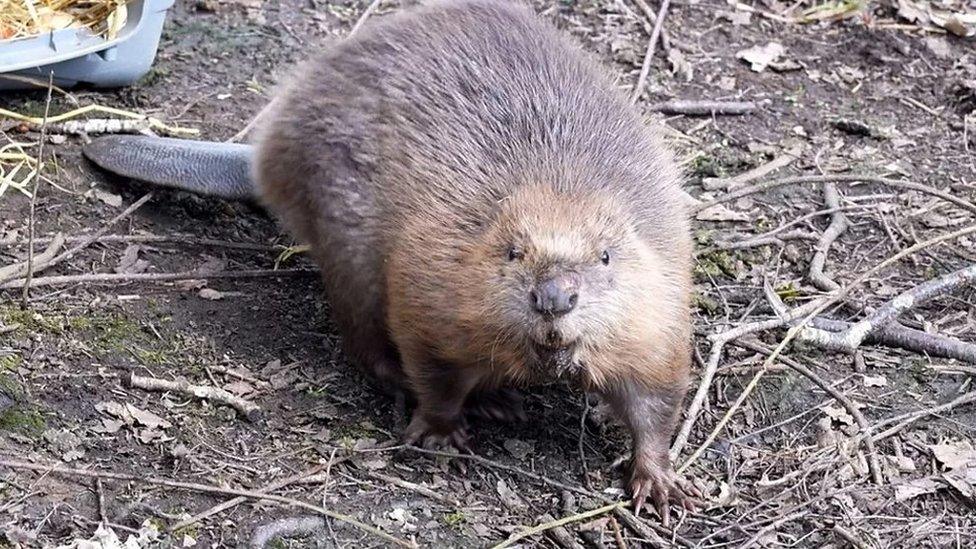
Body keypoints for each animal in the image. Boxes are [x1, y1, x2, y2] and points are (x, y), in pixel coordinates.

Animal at [80, 0, 696, 520]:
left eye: (606, 256)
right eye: (513, 250)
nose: (554, 298)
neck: (557, 186)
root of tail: (259, 160)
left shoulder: (660, 303)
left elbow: (657, 398)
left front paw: (662, 487)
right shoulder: (431, 282)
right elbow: (432, 368)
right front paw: (441, 433)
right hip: (347, 245)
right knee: (364, 342)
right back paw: (489, 401)